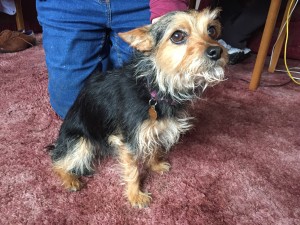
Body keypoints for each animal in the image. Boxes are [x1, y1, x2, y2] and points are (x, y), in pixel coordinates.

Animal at [49, 9, 227, 209]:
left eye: (211, 30)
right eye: (178, 36)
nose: (216, 51)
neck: (155, 87)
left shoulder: (156, 129)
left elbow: (154, 147)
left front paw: (155, 164)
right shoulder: (128, 140)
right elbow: (133, 170)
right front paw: (135, 196)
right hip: (80, 142)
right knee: (57, 161)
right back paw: (70, 178)